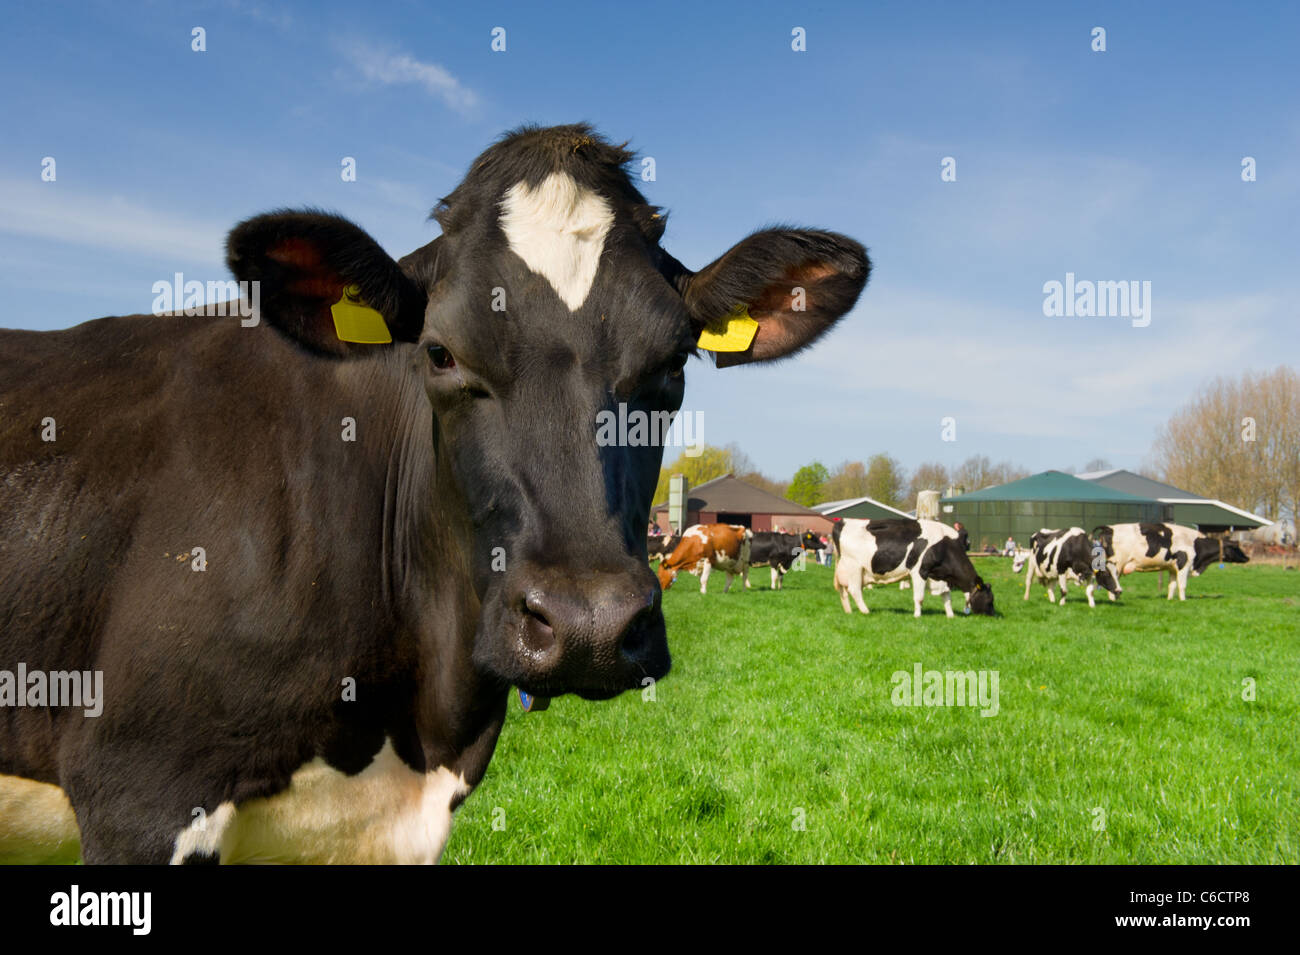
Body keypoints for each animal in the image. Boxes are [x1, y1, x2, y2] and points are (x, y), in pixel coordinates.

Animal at [832, 518, 994, 617]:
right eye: (989, 600)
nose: (993, 615)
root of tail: (843, 521)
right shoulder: (919, 571)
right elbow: (919, 597)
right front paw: (917, 615)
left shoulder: (940, 578)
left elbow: (946, 597)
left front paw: (950, 616)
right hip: (854, 568)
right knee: (855, 590)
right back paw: (866, 611)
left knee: (844, 591)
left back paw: (849, 611)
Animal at [1092, 523, 1249, 601]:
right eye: (1236, 547)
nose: (1247, 558)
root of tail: (1109, 527)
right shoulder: (1183, 565)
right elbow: (1182, 585)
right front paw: (1183, 600)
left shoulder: (1172, 568)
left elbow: (1172, 585)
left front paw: (1169, 599)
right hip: (1116, 564)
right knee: (1113, 579)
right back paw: (1113, 599)